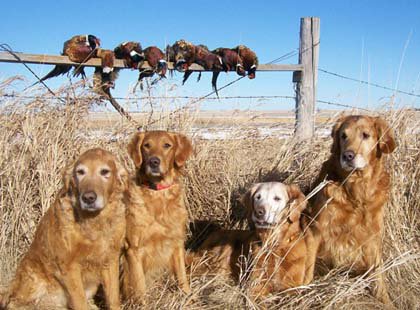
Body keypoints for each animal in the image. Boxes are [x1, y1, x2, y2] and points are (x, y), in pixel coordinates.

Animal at [0, 148, 128, 310]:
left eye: (105, 172)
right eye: (80, 172)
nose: (88, 198)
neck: (93, 222)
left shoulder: (110, 259)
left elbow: (113, 299)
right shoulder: (69, 266)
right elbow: (79, 301)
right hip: (32, 277)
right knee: (16, 302)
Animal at [122, 130, 193, 302]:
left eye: (167, 145)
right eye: (146, 145)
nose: (154, 162)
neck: (158, 193)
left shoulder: (176, 243)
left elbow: (182, 277)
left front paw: (189, 298)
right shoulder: (134, 249)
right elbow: (140, 288)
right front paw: (143, 304)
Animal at [308, 114, 398, 306]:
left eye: (365, 135)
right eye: (343, 136)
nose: (348, 155)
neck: (357, 193)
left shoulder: (372, 237)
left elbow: (378, 274)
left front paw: (385, 302)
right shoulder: (318, 230)